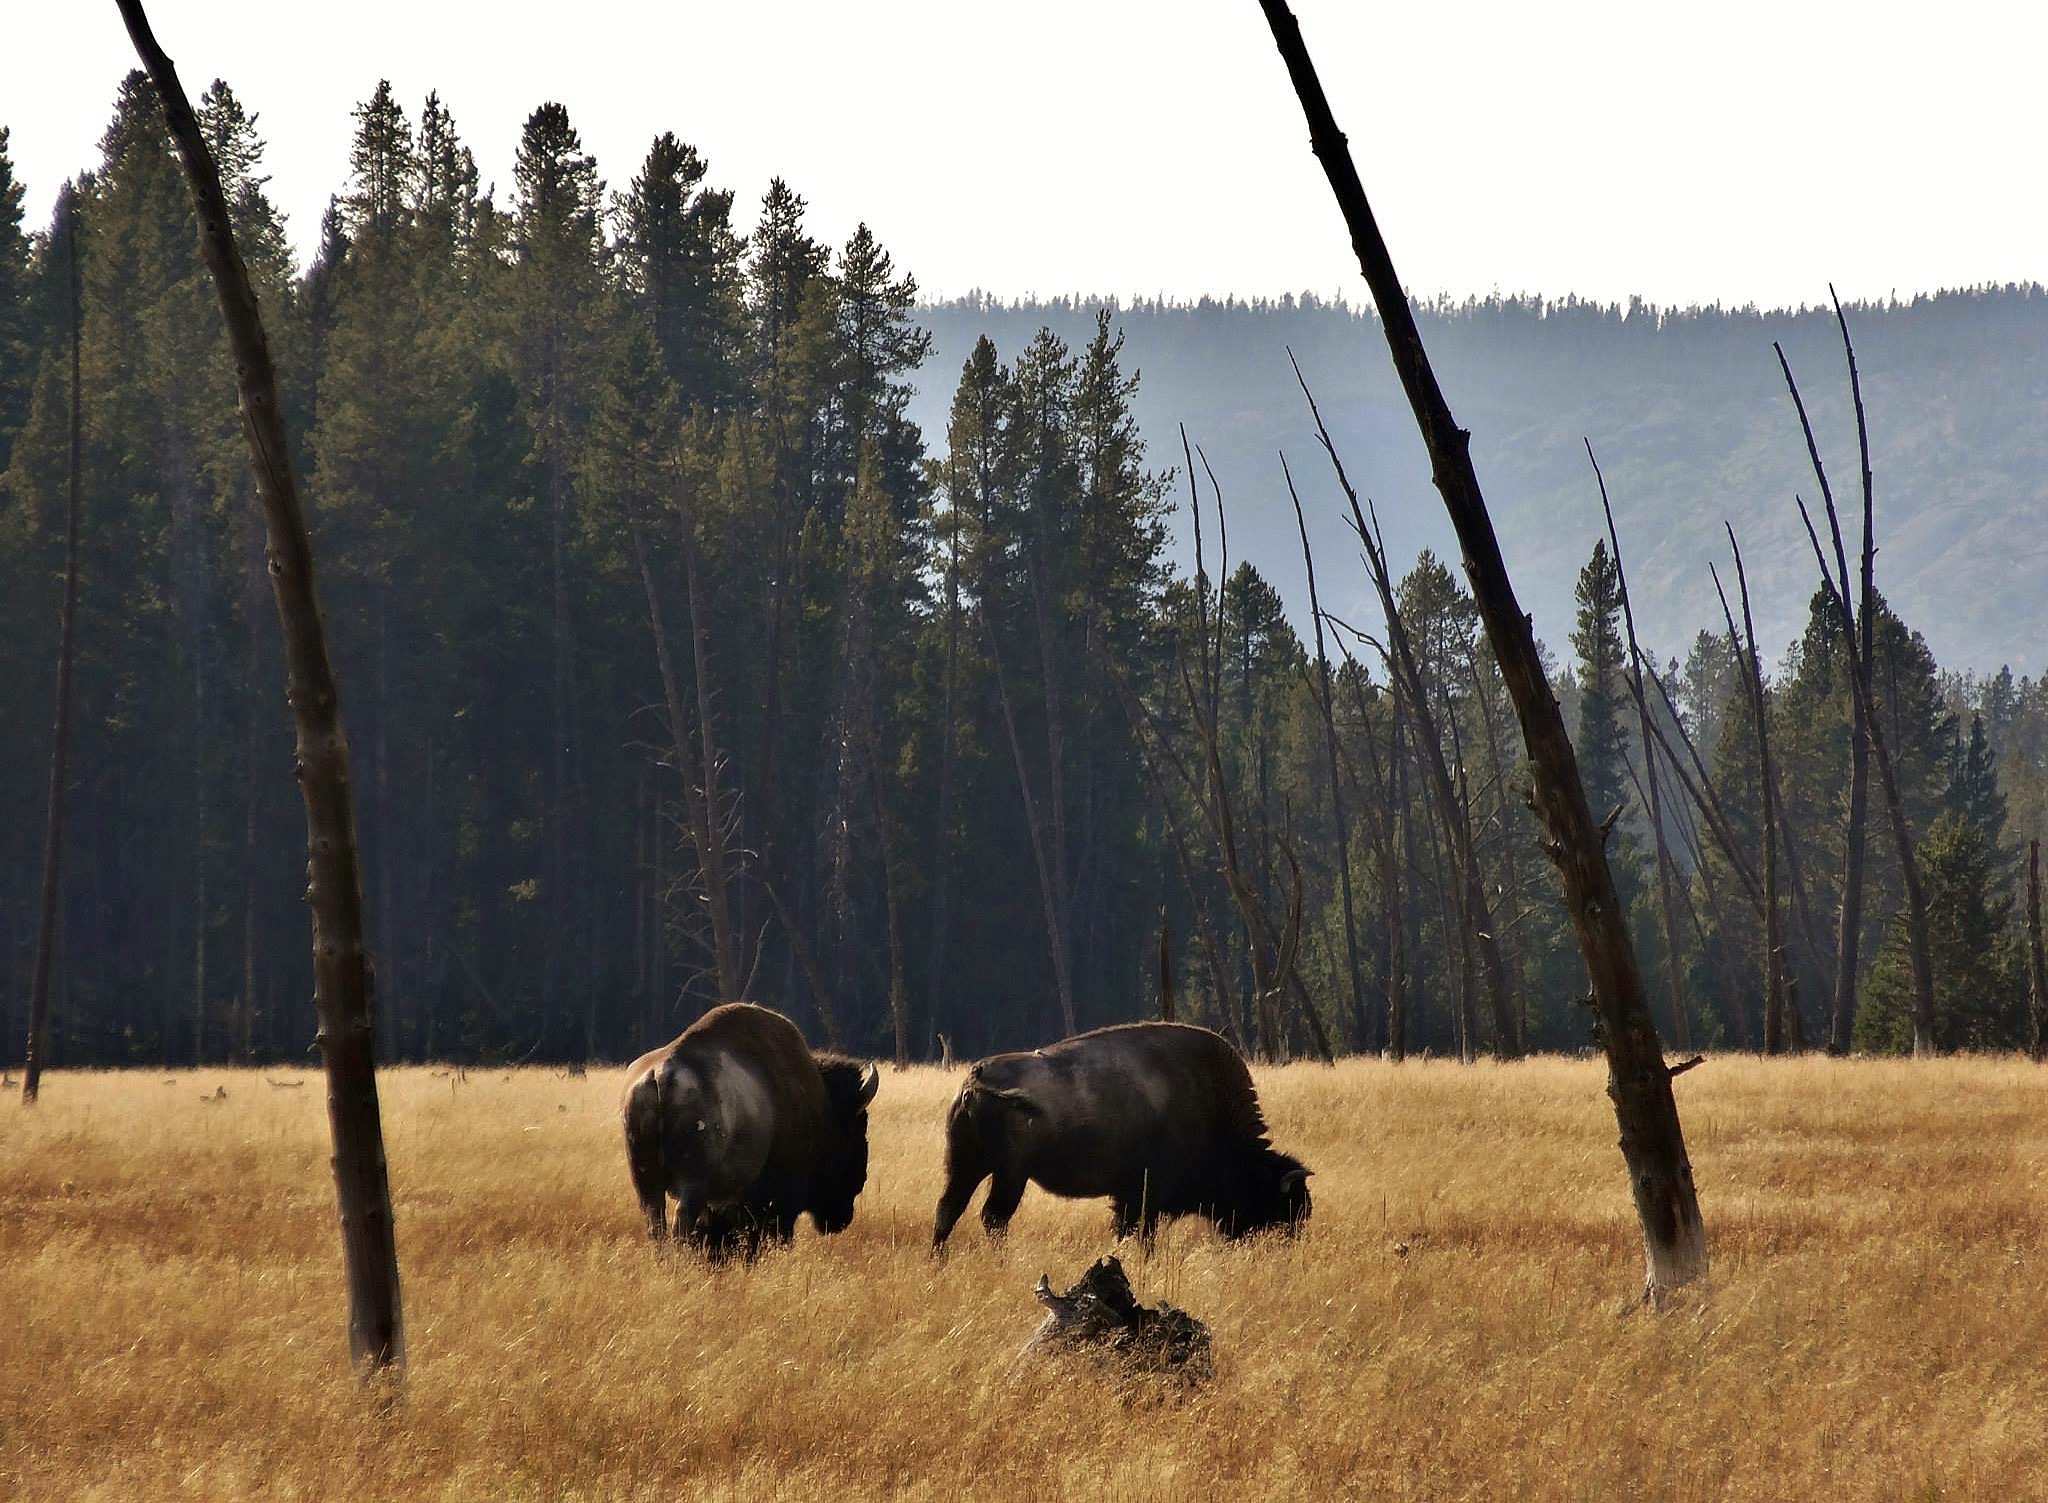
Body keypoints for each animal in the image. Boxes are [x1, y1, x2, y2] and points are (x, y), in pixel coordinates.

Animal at [621, 1002, 878, 1257]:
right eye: (859, 1127)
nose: (841, 1220)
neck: (823, 1107)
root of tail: (660, 1076)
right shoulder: (776, 1200)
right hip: (693, 1183)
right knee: (682, 1221)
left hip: (646, 1181)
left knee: (656, 1222)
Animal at [931, 1022, 1311, 1249]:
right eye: (1282, 1207)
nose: (1288, 1245)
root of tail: (977, 1076)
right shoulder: (1144, 1193)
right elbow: (1140, 1232)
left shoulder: (1130, 1194)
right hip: (1010, 1173)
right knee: (993, 1217)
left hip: (966, 1165)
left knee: (949, 1209)